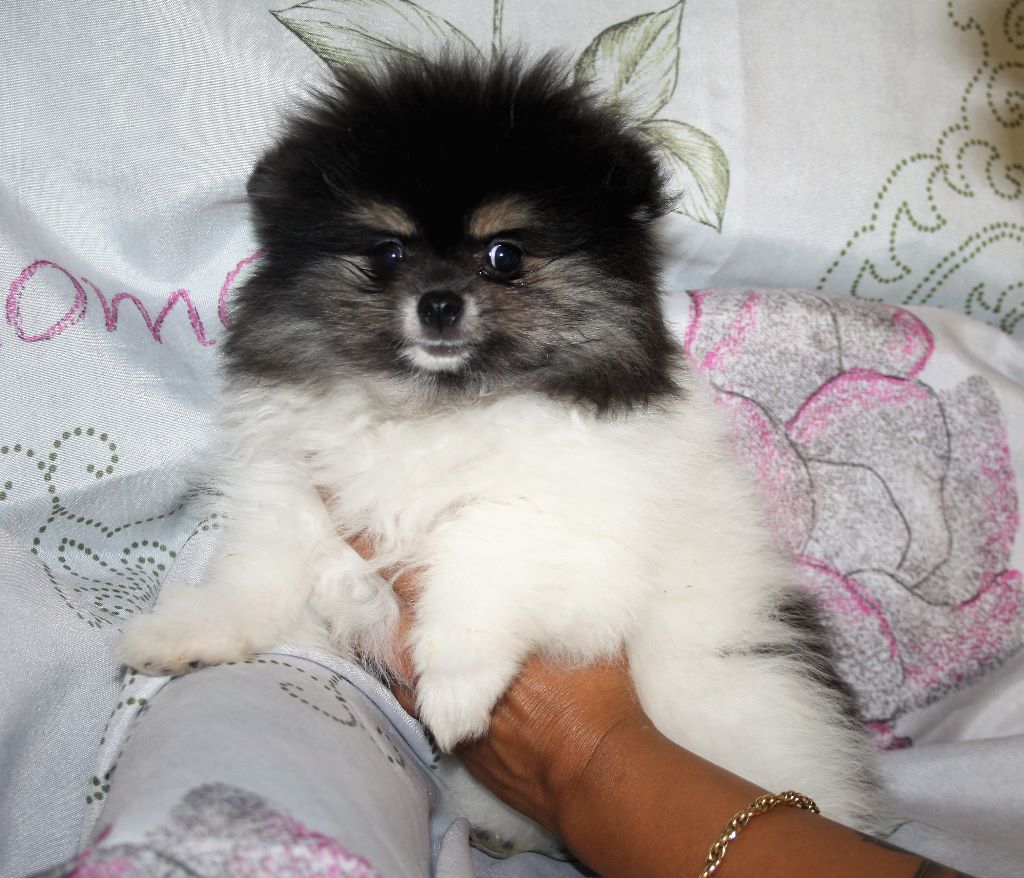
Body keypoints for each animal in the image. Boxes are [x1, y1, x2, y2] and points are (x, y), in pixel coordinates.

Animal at [119, 54, 880, 855]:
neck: (440, 407)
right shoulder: (299, 491)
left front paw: (456, 688)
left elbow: (481, 541)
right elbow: (260, 571)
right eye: (387, 253)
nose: (439, 303)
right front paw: (186, 633)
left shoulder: (579, 541)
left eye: (505, 254)